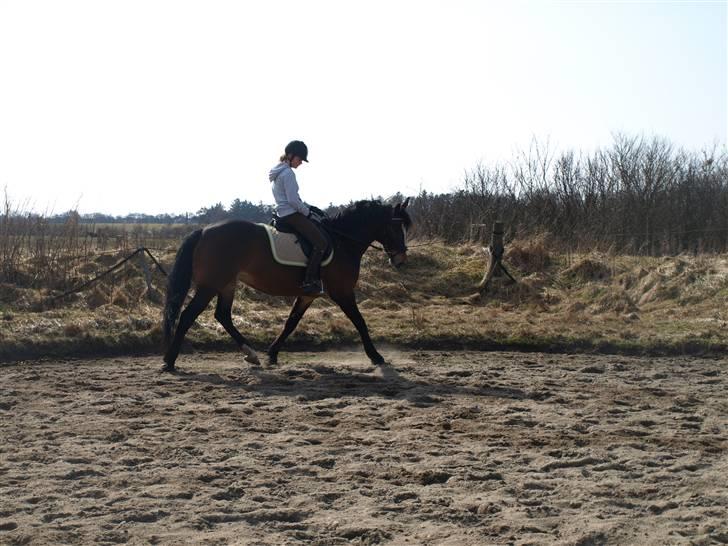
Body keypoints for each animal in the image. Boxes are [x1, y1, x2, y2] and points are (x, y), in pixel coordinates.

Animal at [161, 196, 410, 370]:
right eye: (396, 227)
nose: (400, 259)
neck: (342, 241)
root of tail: (203, 231)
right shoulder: (342, 292)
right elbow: (360, 322)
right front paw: (376, 356)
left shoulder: (308, 294)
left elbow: (291, 322)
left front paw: (272, 354)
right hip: (211, 284)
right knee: (188, 315)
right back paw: (169, 361)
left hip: (227, 284)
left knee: (222, 315)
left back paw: (251, 355)